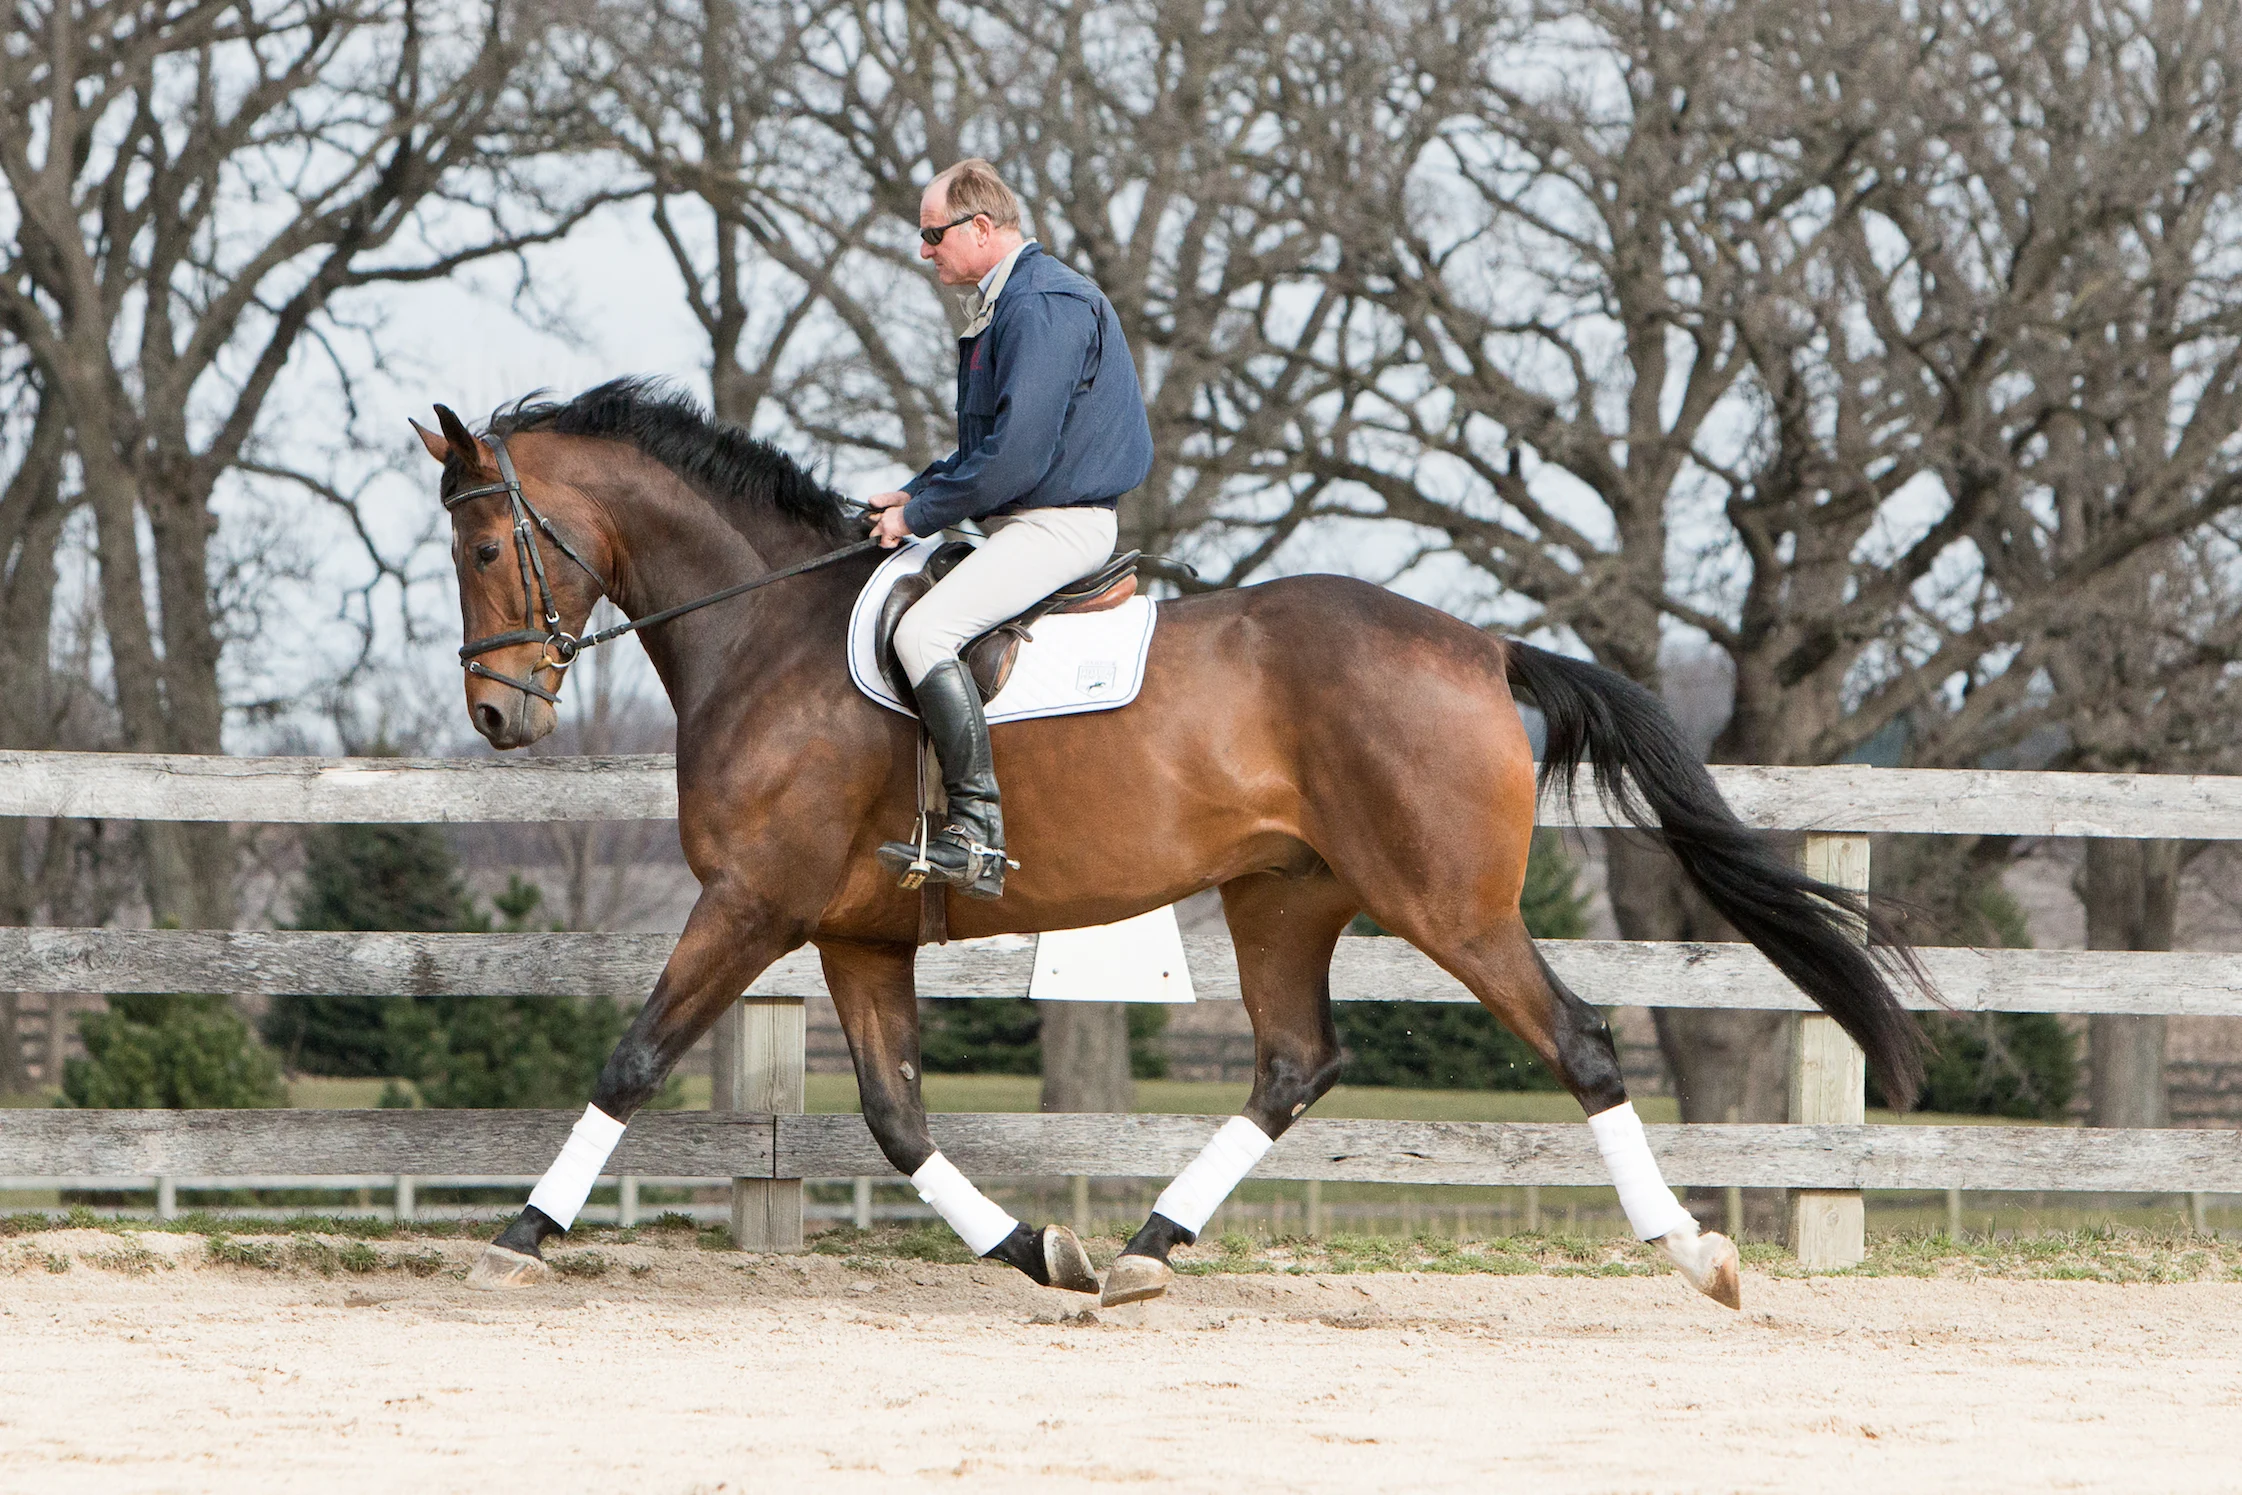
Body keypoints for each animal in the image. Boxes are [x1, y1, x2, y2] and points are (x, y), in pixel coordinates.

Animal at [417, 378, 1929, 1310]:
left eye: (486, 547)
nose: (495, 712)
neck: (765, 629)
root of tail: (1480, 644)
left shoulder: (752, 901)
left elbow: (630, 1060)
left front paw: (517, 1236)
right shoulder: (851, 929)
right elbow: (898, 1119)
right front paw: (1040, 1250)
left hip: (1445, 902)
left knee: (1580, 1038)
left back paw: (1692, 1253)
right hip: (1283, 897)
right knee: (1294, 1061)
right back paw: (1145, 1247)